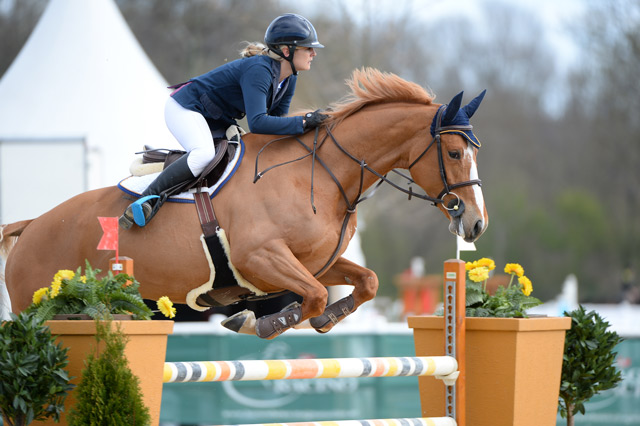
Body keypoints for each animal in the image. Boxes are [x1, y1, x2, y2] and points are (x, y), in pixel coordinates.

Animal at [0, 67, 484, 340]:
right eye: (454, 153)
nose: (476, 224)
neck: (323, 174)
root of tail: (32, 225)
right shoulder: (260, 257)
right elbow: (310, 296)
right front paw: (261, 322)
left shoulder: (315, 261)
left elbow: (364, 282)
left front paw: (323, 319)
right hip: (36, 306)